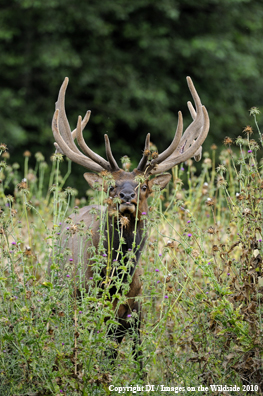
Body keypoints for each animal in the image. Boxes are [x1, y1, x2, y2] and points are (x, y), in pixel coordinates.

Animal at [50, 76, 210, 368]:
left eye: (144, 185)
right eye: (111, 186)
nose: (127, 196)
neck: (114, 283)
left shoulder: (134, 315)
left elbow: (138, 363)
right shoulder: (88, 308)